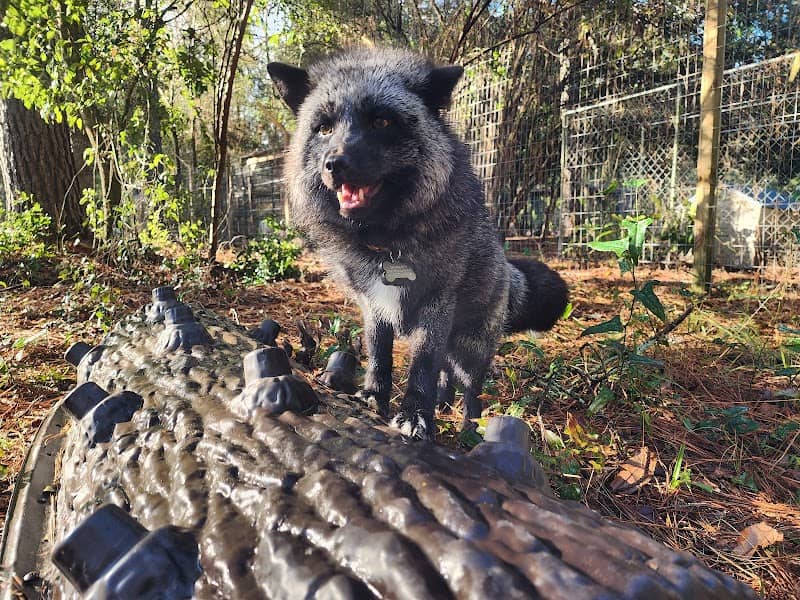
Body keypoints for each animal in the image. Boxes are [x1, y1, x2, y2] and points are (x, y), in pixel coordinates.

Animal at [268, 47, 568, 440]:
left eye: (382, 122)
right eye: (324, 128)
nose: (335, 164)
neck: (386, 246)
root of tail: (507, 269)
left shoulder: (437, 303)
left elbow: (422, 365)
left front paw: (415, 415)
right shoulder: (373, 305)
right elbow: (379, 355)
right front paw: (374, 396)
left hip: (471, 349)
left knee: (472, 391)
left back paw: (468, 429)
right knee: (447, 375)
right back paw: (442, 403)